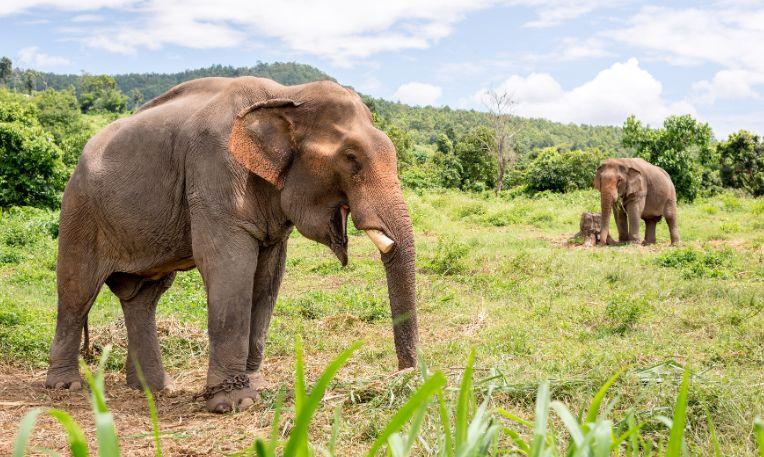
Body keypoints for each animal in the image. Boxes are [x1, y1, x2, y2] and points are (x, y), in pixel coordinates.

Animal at [44, 77, 418, 414]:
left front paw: (257, 387)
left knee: (143, 297)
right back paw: (66, 386)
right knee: (77, 291)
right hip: (79, 211)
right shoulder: (215, 173)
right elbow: (229, 267)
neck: (285, 95)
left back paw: (154, 389)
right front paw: (234, 403)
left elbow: (268, 278)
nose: (406, 376)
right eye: (352, 159)